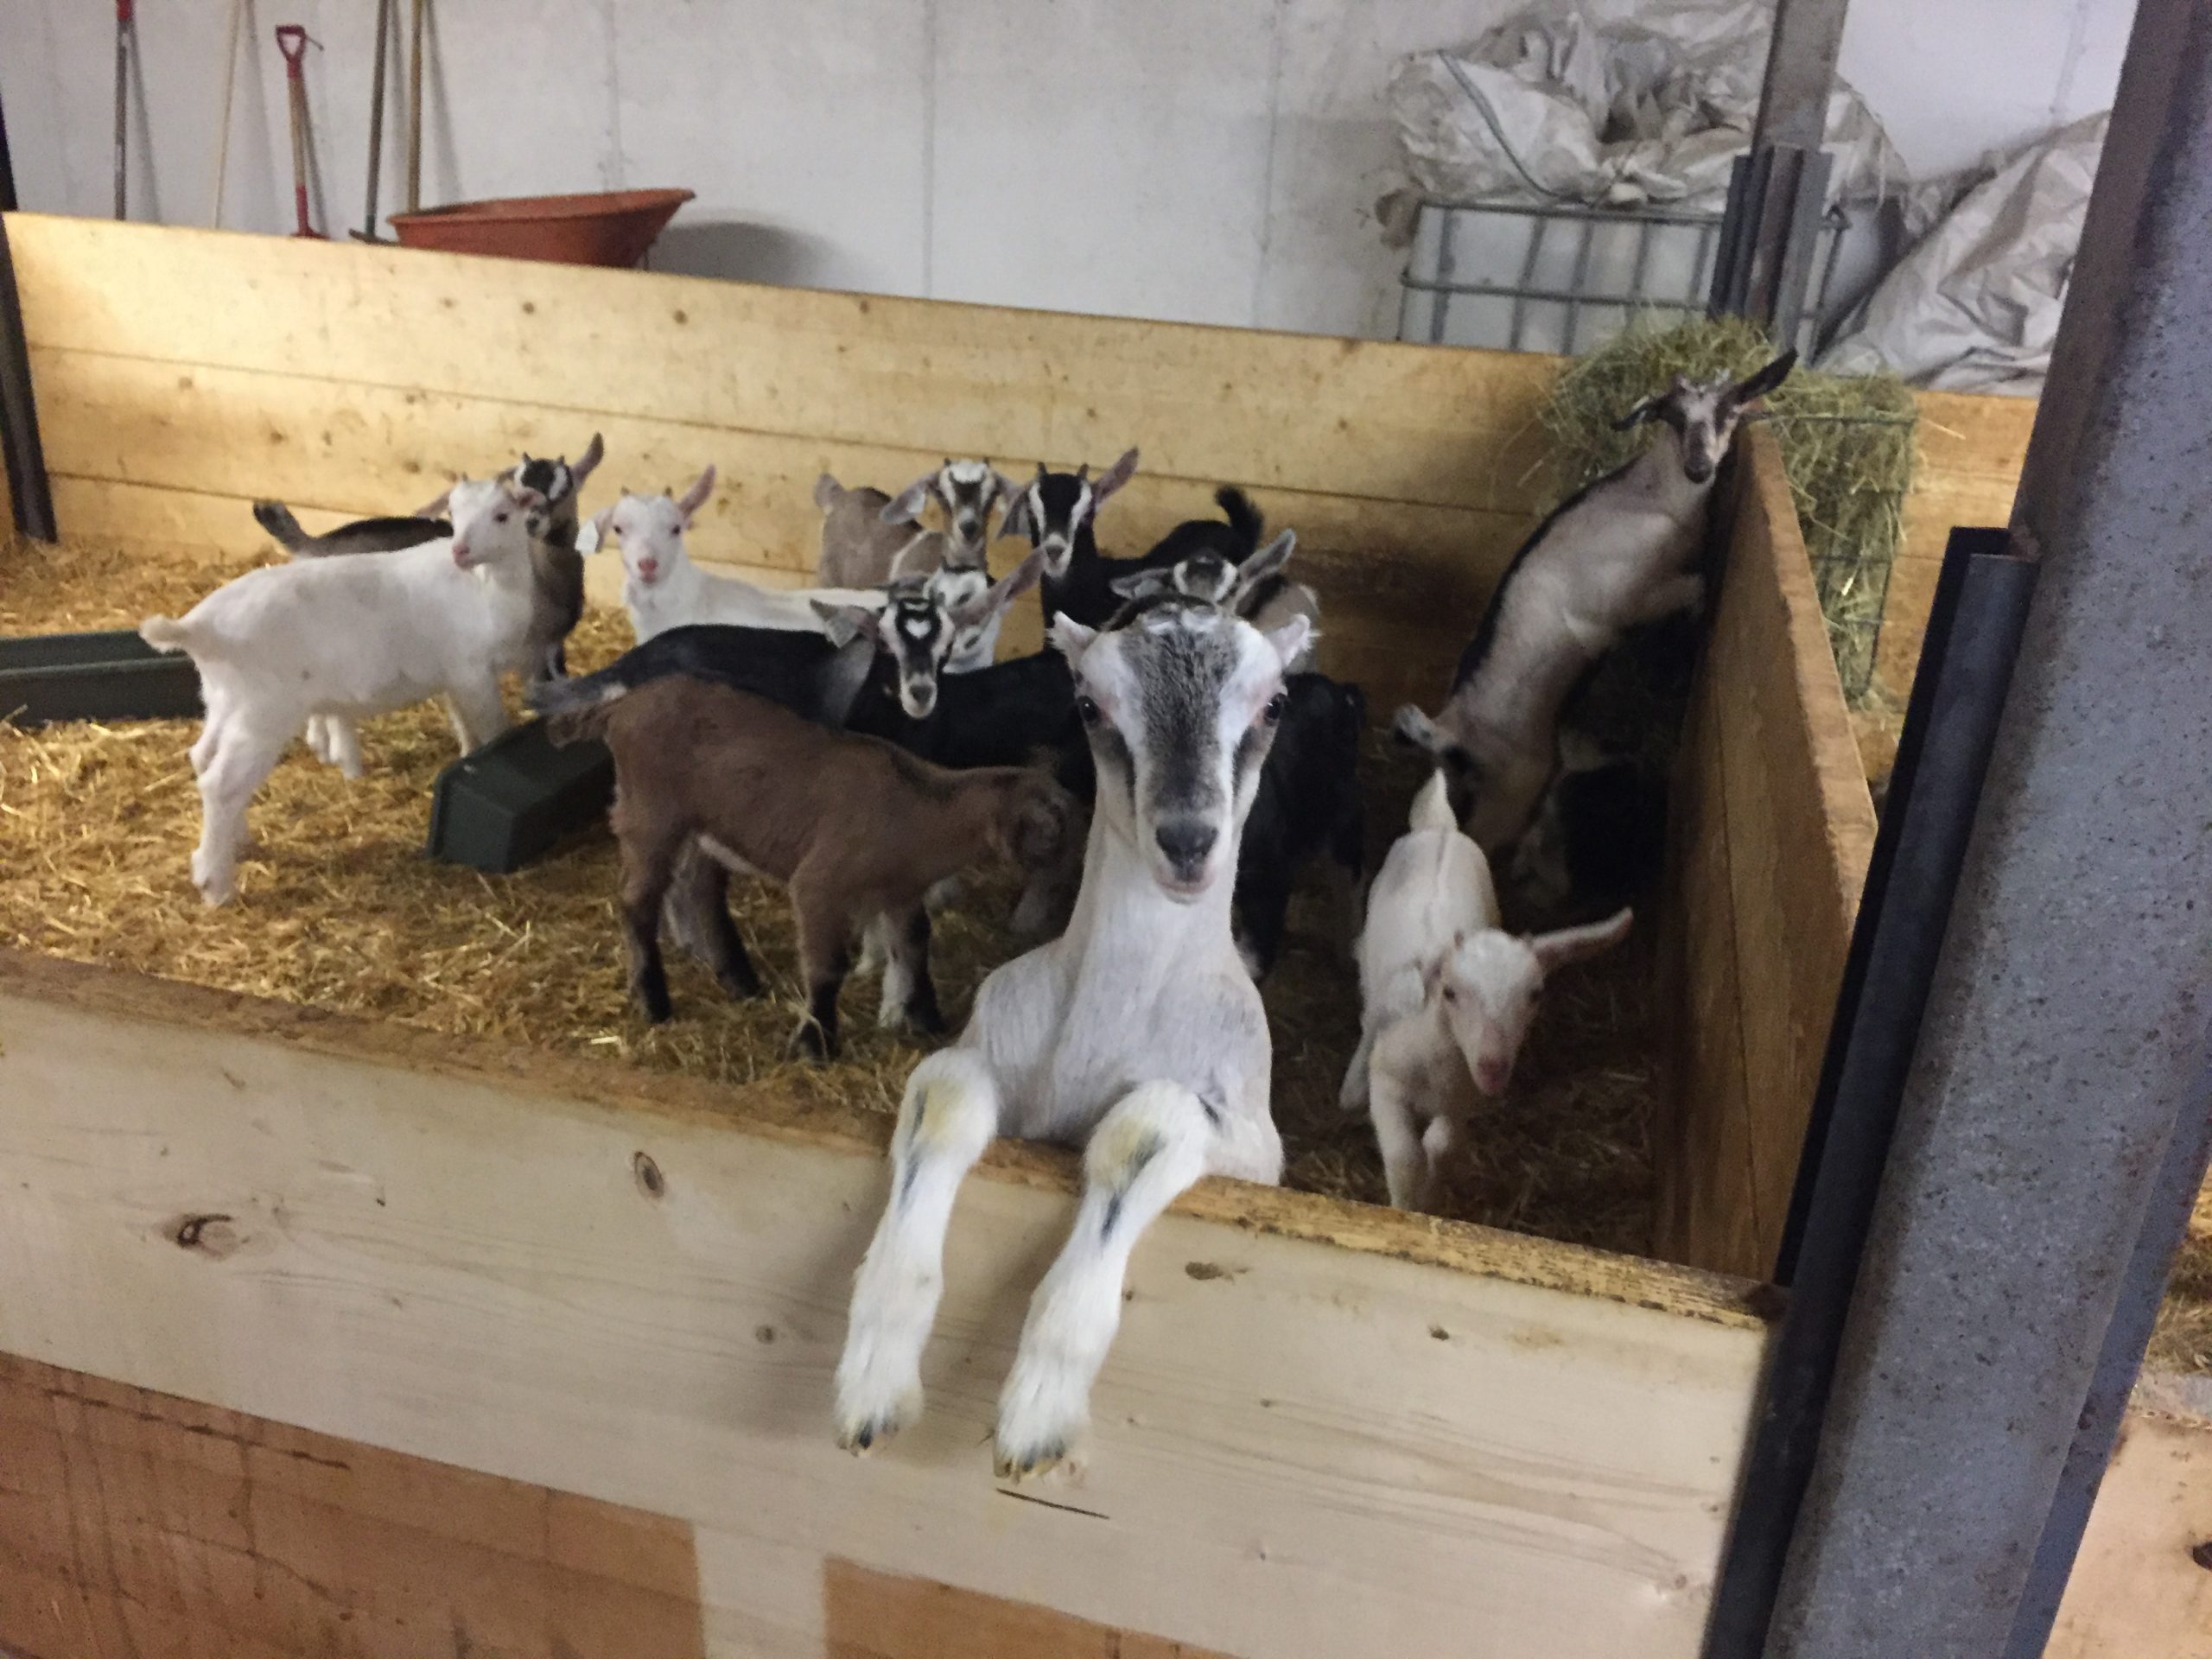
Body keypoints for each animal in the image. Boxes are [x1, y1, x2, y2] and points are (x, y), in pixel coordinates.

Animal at [141, 477, 544, 905]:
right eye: (453, 513)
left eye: (502, 515)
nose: (460, 551)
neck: (484, 586)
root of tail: (198, 628)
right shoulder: (473, 672)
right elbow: (494, 730)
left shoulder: (454, 676)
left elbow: (463, 726)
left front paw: (467, 753)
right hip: (262, 712)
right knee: (221, 784)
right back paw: (215, 884)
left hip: (223, 700)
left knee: (203, 758)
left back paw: (239, 840)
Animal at [578, 676, 1075, 1058]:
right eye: (1052, 829)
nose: (1075, 873)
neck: (919, 811)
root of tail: (622, 705)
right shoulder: (820, 885)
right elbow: (827, 967)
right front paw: (815, 1044)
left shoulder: (900, 892)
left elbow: (914, 945)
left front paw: (927, 1019)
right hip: (651, 813)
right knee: (638, 901)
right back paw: (654, 1002)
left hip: (706, 827)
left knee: (701, 888)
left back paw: (740, 980)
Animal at [835, 597, 1310, 1480]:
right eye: (1091, 705)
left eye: (1274, 704)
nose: (1187, 840)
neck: (1108, 1024)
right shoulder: (986, 1047)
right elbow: (943, 1099)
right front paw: (873, 1385)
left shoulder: (1256, 1147)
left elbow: (1143, 1128)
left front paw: (1036, 1418)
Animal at [1339, 772, 1630, 1212]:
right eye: (1450, 993)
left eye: (1535, 994)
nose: (1494, 1065)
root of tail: (1441, 829)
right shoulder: (1388, 1086)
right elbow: (1405, 1156)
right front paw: (1407, 1205)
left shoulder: (1463, 1099)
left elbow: (1441, 1145)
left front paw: (1432, 1193)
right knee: (1369, 1010)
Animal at [1394, 352, 1794, 852]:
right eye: (1673, 417)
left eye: (1728, 412)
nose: (1699, 467)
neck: (1651, 498)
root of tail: (1449, 727)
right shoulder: (1629, 604)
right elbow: (1698, 588)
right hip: (1513, 791)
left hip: (1460, 782)